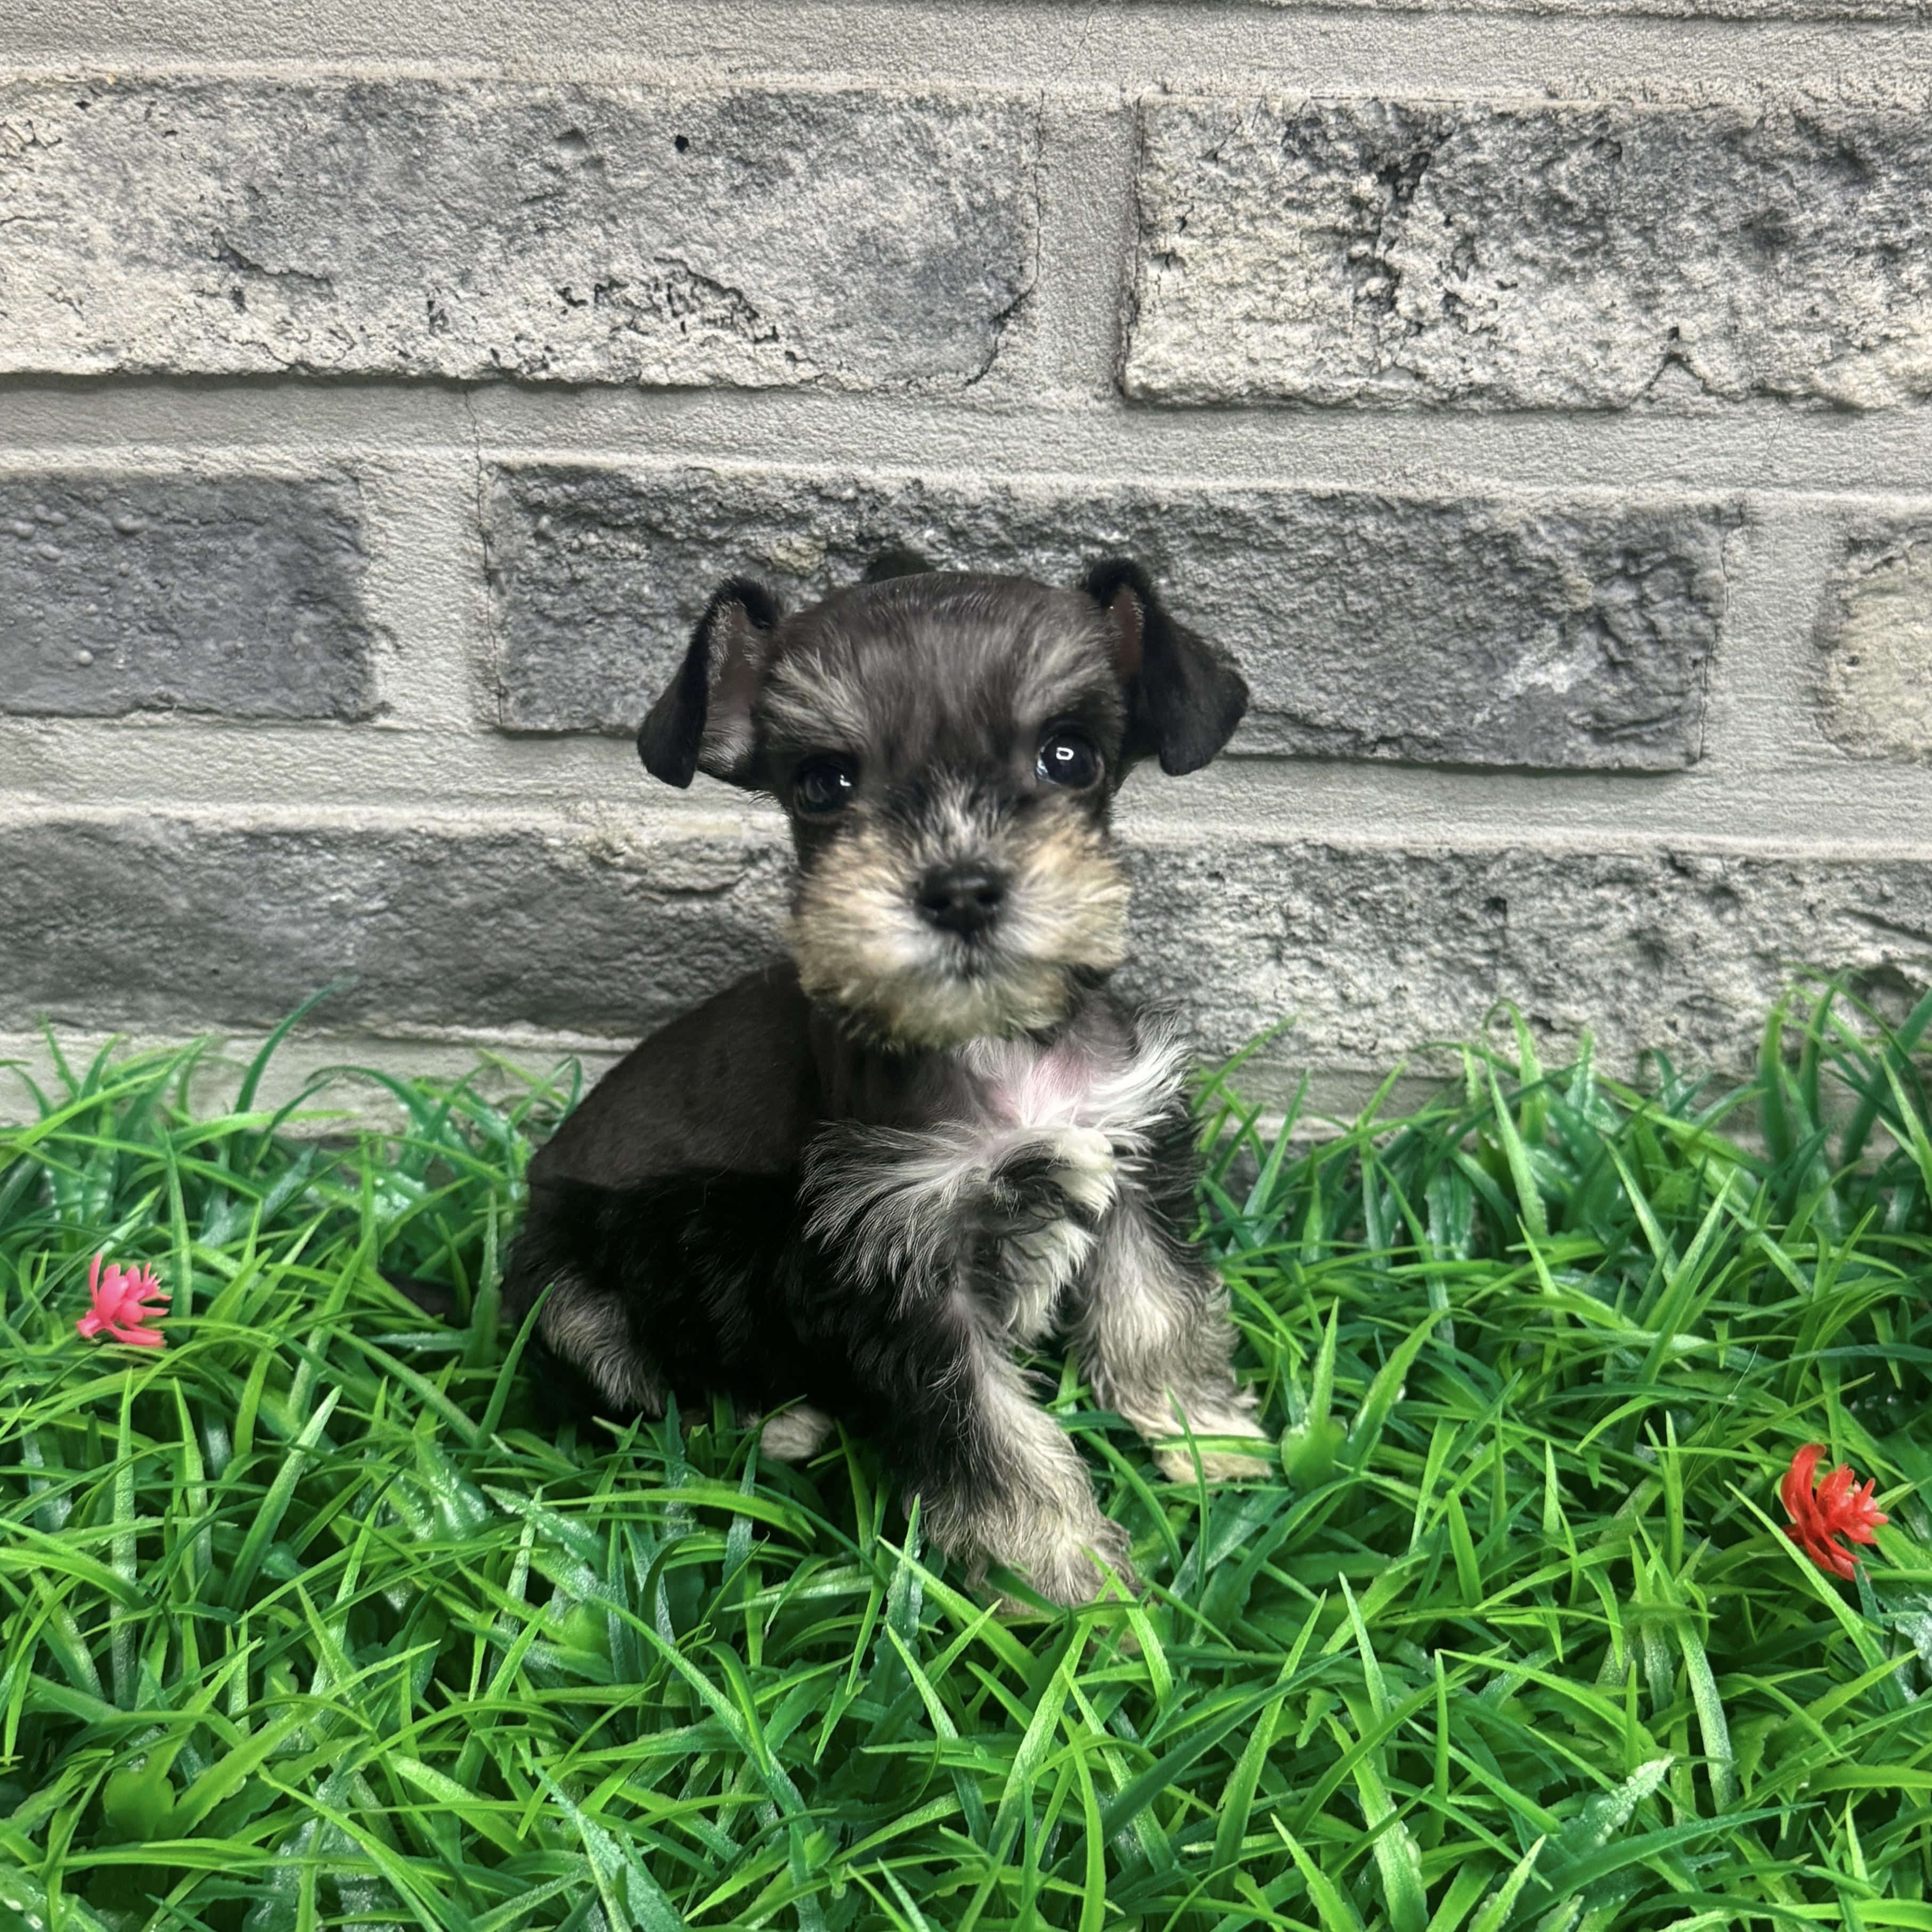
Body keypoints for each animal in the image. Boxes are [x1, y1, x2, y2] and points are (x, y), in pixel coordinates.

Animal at [501, 551, 1273, 1606]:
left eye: (1068, 756)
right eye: (825, 782)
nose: (960, 888)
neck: (990, 1041)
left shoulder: (1130, 1164)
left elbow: (1158, 1314)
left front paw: (1209, 1439)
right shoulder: (899, 1272)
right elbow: (987, 1435)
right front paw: (1064, 1584)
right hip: (565, 1297)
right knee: (633, 1391)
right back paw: (773, 1421)